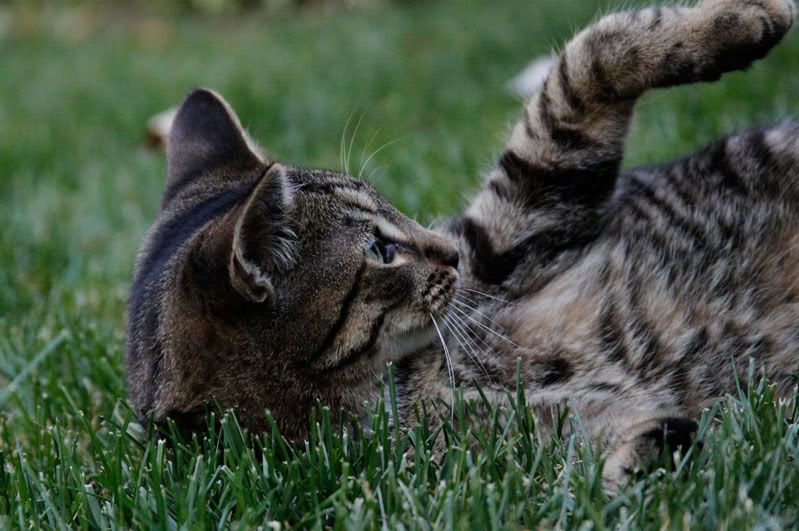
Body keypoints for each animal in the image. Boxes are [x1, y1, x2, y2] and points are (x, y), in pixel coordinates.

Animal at [126, 0, 799, 486]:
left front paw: (748, 20)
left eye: (393, 209)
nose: (449, 252)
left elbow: (589, 60)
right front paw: (640, 466)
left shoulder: (526, 217)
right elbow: (623, 432)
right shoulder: (517, 431)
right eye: (381, 250)